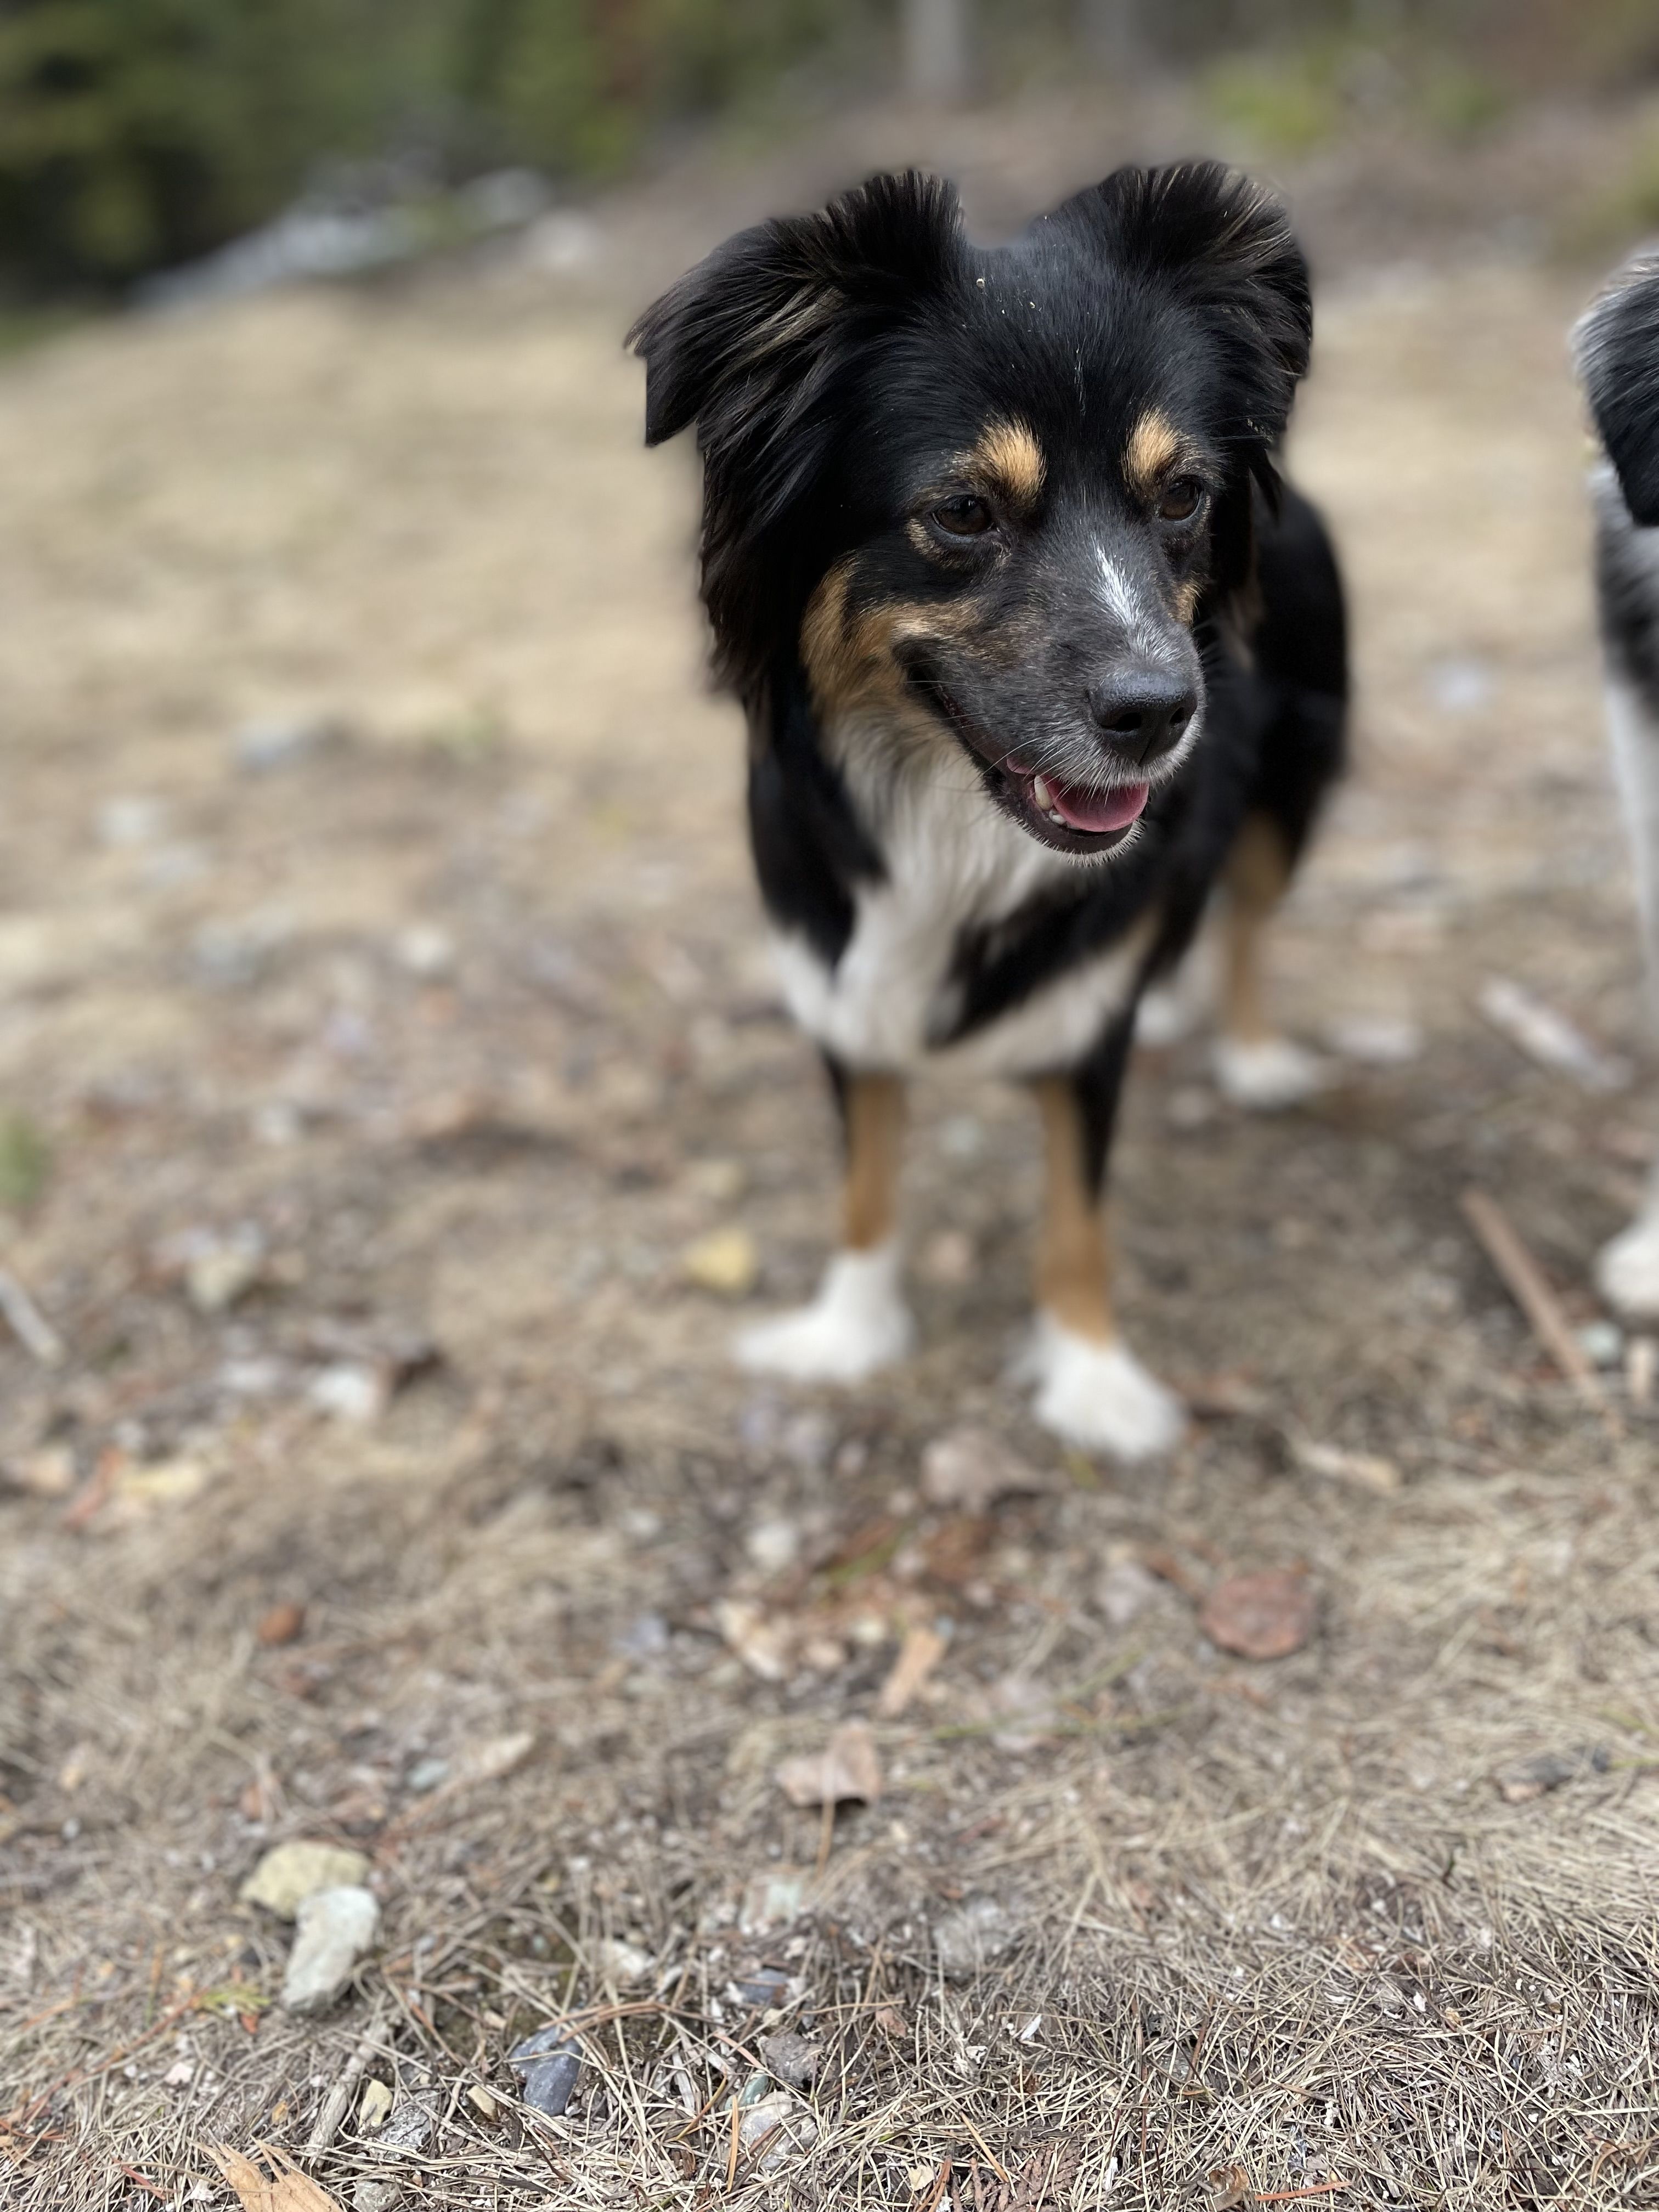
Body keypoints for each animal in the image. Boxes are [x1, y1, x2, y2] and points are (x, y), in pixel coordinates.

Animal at [628, 163, 1345, 1460]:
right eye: (962, 512)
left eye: (1182, 496)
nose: (1162, 713)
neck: (955, 819)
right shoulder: (843, 983)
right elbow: (867, 1177)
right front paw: (847, 1332)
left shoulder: (1079, 1039)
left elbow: (1074, 1214)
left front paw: (1094, 1384)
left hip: (1291, 791)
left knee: (1248, 915)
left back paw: (1250, 1049)